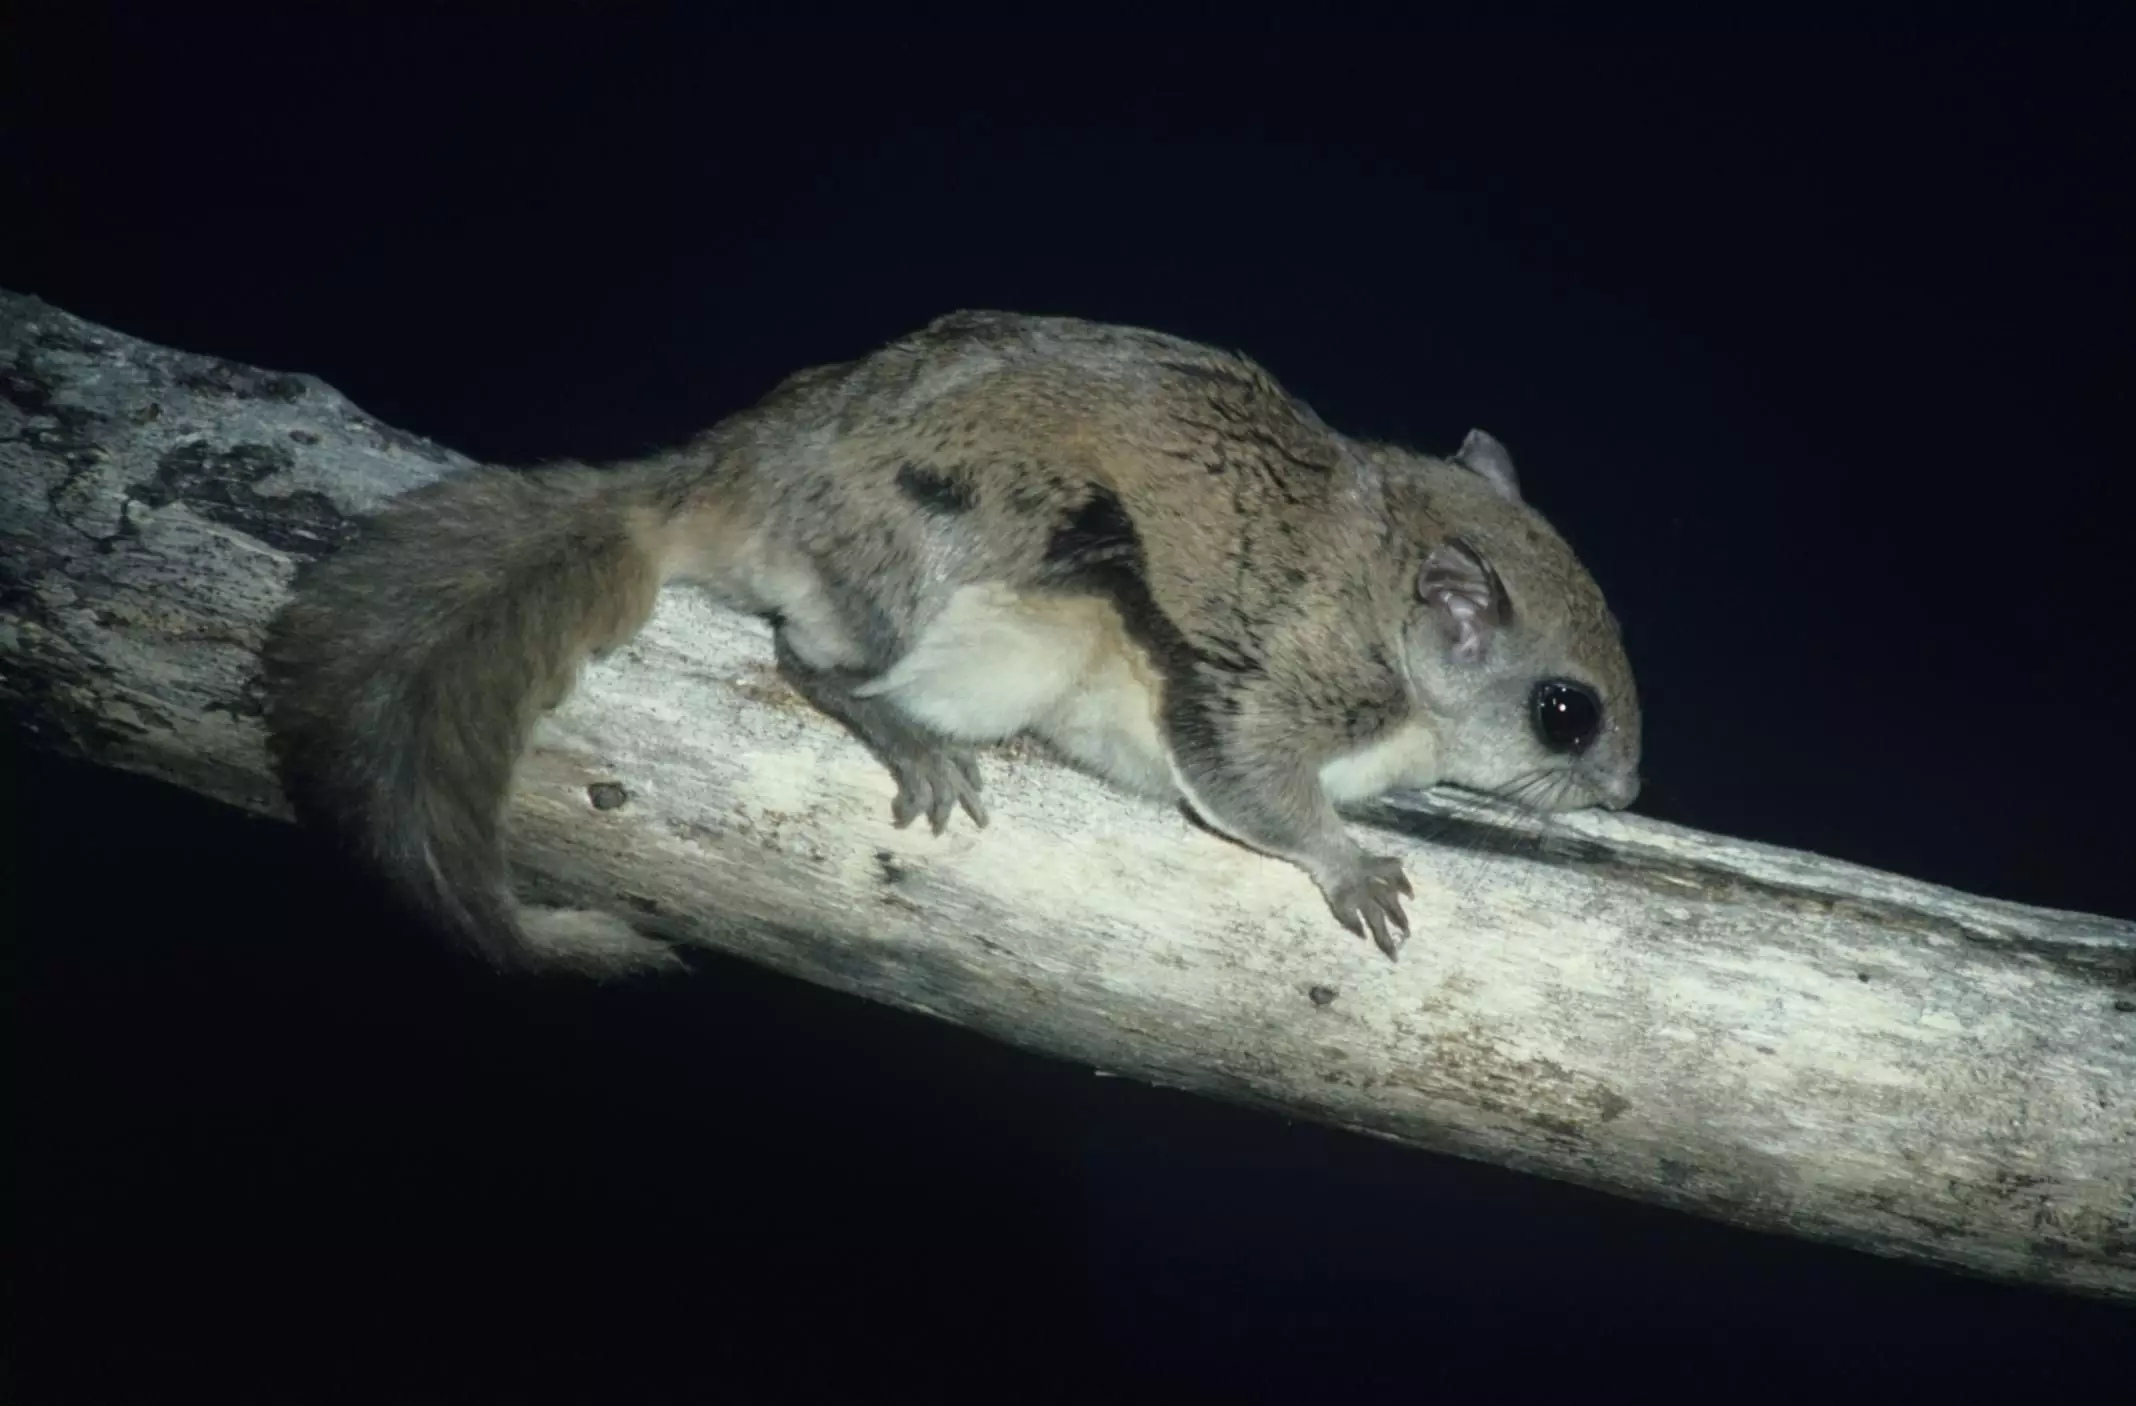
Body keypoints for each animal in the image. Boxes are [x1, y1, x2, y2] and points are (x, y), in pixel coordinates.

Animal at [258, 309, 1640, 970]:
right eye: (1566, 711)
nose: (1631, 788)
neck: (1383, 595)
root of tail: (731, 482)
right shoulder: (1266, 690)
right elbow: (1262, 795)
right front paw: (1352, 866)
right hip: (976, 597)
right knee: (814, 662)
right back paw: (905, 737)